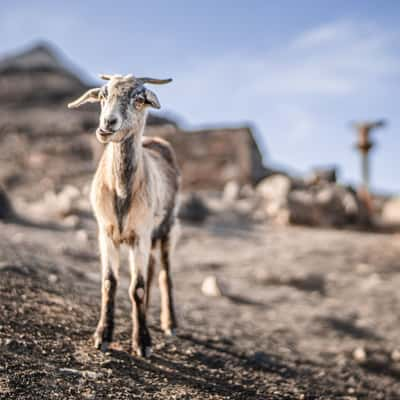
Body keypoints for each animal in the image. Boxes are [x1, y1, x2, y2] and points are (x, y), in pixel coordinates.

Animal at [69, 74, 180, 356]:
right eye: (103, 95)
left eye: (139, 99)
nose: (107, 123)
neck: (121, 191)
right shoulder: (106, 232)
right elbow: (110, 282)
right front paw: (102, 336)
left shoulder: (140, 233)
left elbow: (137, 288)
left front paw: (142, 342)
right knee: (151, 269)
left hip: (166, 228)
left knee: (164, 273)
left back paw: (169, 323)